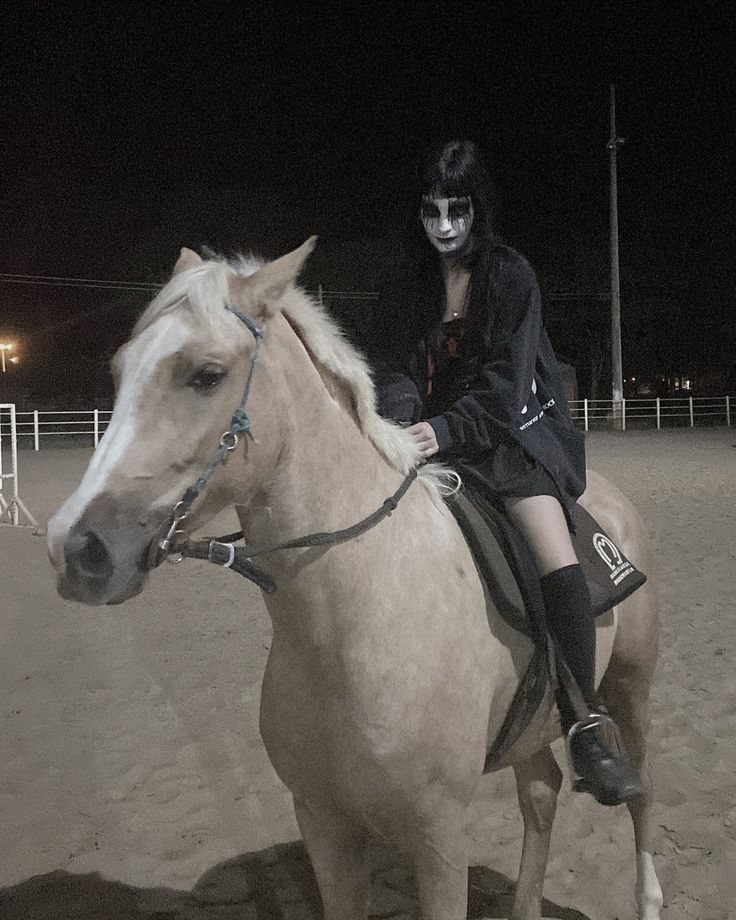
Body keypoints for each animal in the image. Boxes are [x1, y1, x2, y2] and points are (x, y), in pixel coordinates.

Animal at [49, 241, 664, 916]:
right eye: (119, 370)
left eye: (206, 375)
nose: (76, 548)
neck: (352, 623)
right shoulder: (323, 823)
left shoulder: (438, 836)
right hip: (532, 728)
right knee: (543, 793)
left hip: (630, 690)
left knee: (640, 790)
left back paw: (647, 892)